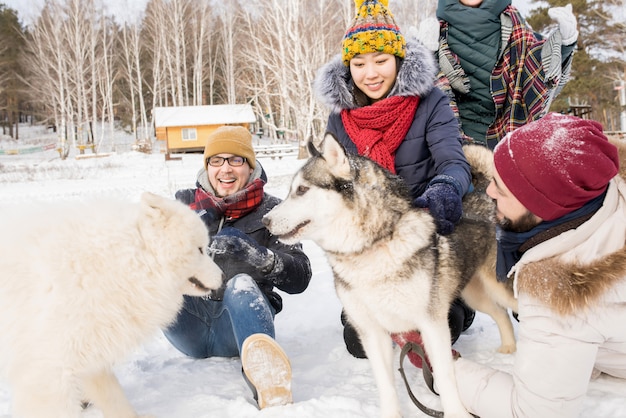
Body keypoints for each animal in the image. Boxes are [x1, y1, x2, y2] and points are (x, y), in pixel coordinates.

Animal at [260, 135, 516, 418]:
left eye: (302, 190)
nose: (265, 220)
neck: (371, 249)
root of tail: (483, 194)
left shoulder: (432, 324)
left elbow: (445, 376)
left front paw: (455, 413)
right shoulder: (372, 331)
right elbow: (385, 383)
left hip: (495, 286)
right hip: (473, 293)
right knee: (500, 312)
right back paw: (509, 347)